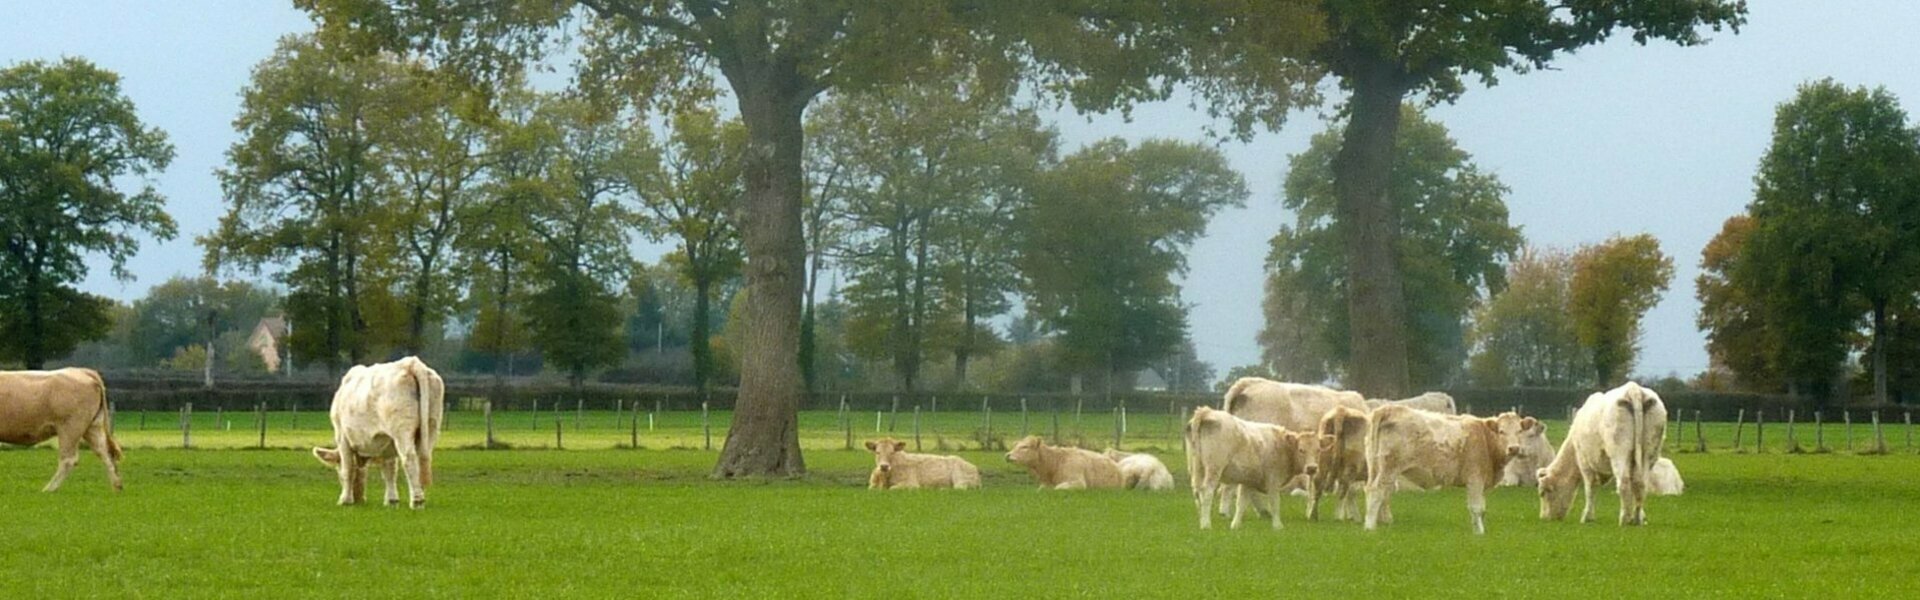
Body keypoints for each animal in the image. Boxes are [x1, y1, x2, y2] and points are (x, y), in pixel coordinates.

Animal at [311, 357, 445, 507]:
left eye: (337, 470)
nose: (359, 499)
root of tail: (410, 363)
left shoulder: (342, 437)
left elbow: (348, 469)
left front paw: (345, 499)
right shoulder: (387, 442)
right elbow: (389, 470)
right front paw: (391, 500)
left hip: (402, 429)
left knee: (409, 458)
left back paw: (417, 500)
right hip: (431, 425)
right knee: (423, 459)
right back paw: (420, 492)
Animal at [1175, 407, 1328, 530]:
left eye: (1318, 450)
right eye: (1301, 450)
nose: (1312, 468)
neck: (1282, 445)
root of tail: (1207, 411)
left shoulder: (1248, 482)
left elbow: (1241, 503)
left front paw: (1235, 525)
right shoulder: (1273, 480)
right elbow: (1274, 502)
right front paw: (1277, 526)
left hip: (1196, 468)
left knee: (1197, 493)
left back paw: (1202, 520)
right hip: (1214, 469)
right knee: (1206, 492)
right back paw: (1206, 525)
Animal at [1367, 405, 1543, 530]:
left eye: (1519, 431)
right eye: (1501, 431)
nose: (1514, 448)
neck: (1485, 439)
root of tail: (1390, 408)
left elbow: (1481, 510)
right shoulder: (1475, 479)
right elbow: (1476, 508)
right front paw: (1480, 534)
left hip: (1376, 467)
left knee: (1374, 490)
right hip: (1389, 468)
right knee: (1377, 491)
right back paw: (1370, 528)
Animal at [1536, 378, 1674, 523]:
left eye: (1542, 493)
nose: (1544, 518)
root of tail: (1633, 389)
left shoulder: (1584, 461)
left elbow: (1590, 488)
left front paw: (1587, 517)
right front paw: (1642, 516)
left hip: (1619, 451)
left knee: (1624, 482)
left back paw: (1624, 519)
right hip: (1649, 452)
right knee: (1640, 483)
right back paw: (1636, 520)